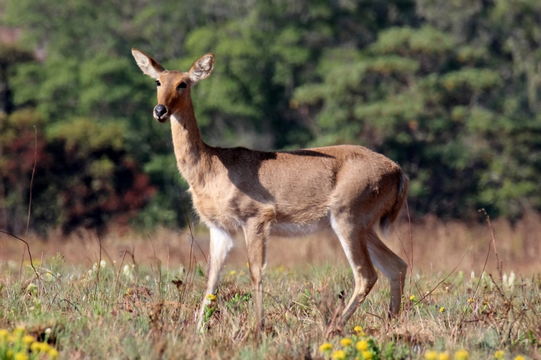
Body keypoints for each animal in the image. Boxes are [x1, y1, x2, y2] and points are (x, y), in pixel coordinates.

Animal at [131, 48, 408, 334]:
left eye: (183, 83)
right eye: (158, 81)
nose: (160, 110)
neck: (211, 169)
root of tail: (398, 172)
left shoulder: (256, 217)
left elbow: (256, 272)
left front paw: (257, 327)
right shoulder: (219, 228)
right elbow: (212, 278)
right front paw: (197, 330)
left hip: (348, 216)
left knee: (366, 273)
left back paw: (334, 327)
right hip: (365, 224)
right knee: (396, 265)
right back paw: (389, 323)